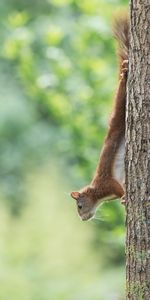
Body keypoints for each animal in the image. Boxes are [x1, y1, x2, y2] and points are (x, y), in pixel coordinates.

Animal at [70, 15, 129, 220]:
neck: (96, 193)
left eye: (80, 206)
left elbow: (120, 190)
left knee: (122, 89)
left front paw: (125, 199)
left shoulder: (108, 184)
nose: (82, 219)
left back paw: (125, 73)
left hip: (120, 105)